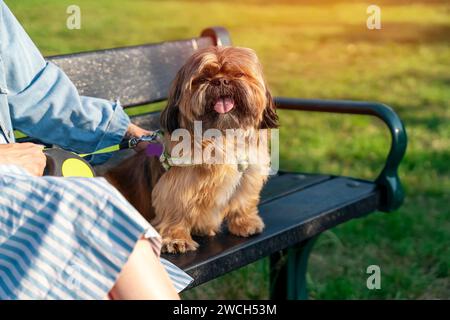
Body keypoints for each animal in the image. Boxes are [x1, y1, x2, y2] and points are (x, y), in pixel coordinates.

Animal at [107, 46, 280, 254]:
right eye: (203, 78)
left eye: (238, 74)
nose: (221, 80)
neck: (221, 135)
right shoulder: (177, 186)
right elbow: (176, 210)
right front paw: (176, 239)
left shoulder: (248, 176)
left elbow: (242, 201)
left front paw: (244, 223)